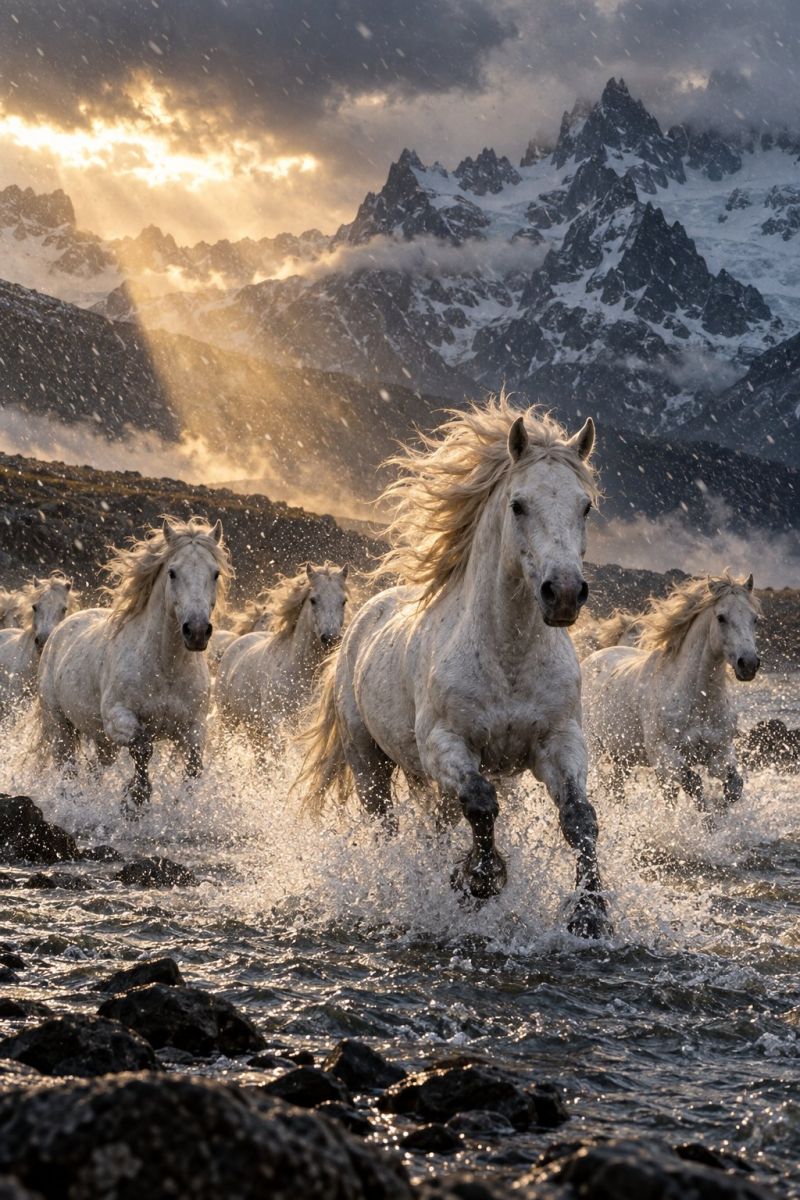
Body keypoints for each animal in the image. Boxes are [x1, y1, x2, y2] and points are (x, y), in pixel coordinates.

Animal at [37, 517, 231, 813]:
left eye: (215, 573)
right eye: (172, 572)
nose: (197, 631)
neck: (166, 668)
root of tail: (58, 631)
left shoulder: (194, 726)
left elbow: (194, 766)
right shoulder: (119, 717)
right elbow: (143, 748)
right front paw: (135, 800)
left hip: (102, 742)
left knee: (95, 770)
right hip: (60, 726)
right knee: (67, 769)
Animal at [217, 564, 349, 751]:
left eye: (343, 601)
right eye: (313, 600)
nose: (330, 638)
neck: (299, 672)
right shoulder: (275, 722)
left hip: (255, 731)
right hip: (228, 719)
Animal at [297, 395, 610, 939]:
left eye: (584, 506)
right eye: (518, 504)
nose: (565, 594)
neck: (508, 659)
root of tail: (361, 623)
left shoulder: (559, 741)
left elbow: (580, 819)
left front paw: (590, 915)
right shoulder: (447, 744)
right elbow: (483, 804)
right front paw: (479, 880)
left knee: (440, 822)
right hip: (369, 762)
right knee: (385, 824)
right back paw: (398, 880)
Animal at [581, 572, 761, 818]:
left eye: (755, 618)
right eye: (721, 617)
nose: (749, 664)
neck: (697, 700)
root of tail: (591, 658)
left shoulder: (721, 751)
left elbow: (733, 787)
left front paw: (718, 814)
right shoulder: (664, 755)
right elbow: (693, 784)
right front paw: (703, 819)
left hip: (623, 757)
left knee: (623, 789)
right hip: (597, 751)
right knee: (611, 786)